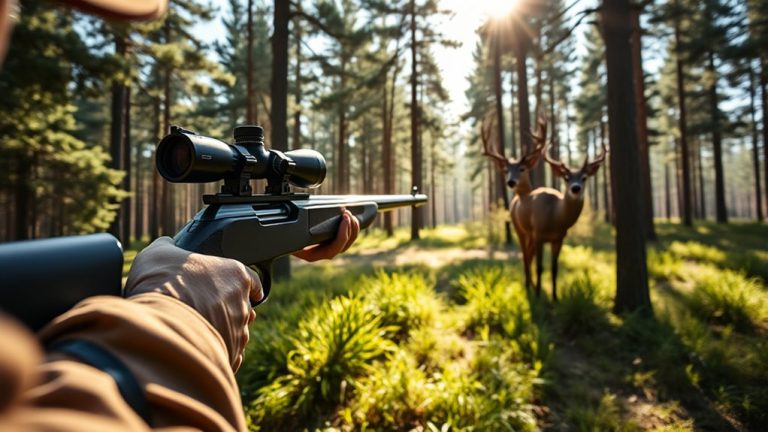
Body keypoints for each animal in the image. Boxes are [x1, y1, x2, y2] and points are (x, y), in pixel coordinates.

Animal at [481, 115, 607, 301]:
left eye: (584, 178)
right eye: (566, 178)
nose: (575, 188)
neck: (555, 217)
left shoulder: (558, 239)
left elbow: (554, 268)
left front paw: (554, 297)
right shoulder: (539, 234)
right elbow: (540, 266)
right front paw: (539, 295)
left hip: (531, 235)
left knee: (529, 255)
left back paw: (532, 285)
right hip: (520, 229)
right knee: (525, 256)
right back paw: (528, 286)